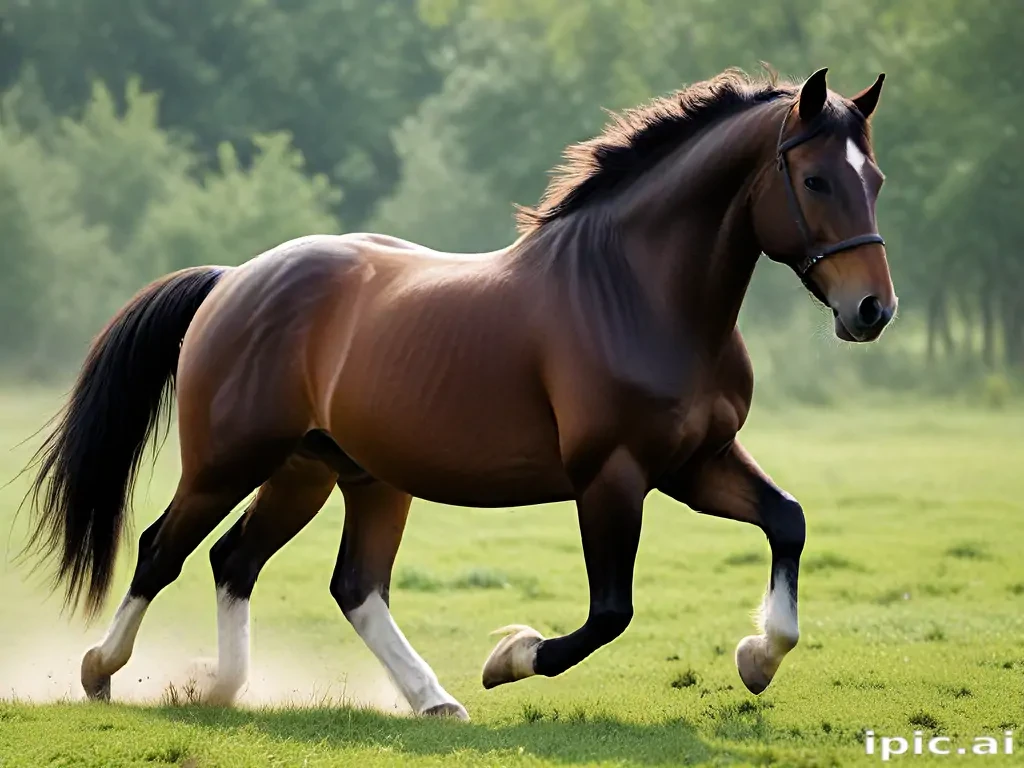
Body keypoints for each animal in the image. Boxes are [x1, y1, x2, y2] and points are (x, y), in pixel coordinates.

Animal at [22, 67, 895, 720]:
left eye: (876, 180)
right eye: (815, 179)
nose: (872, 310)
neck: (636, 294)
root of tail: (234, 279)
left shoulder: (698, 462)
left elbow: (788, 521)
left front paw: (758, 658)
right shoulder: (611, 476)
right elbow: (609, 613)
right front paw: (510, 656)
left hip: (332, 474)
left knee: (285, 572)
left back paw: (315, 692)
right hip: (230, 461)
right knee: (162, 550)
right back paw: (103, 670)